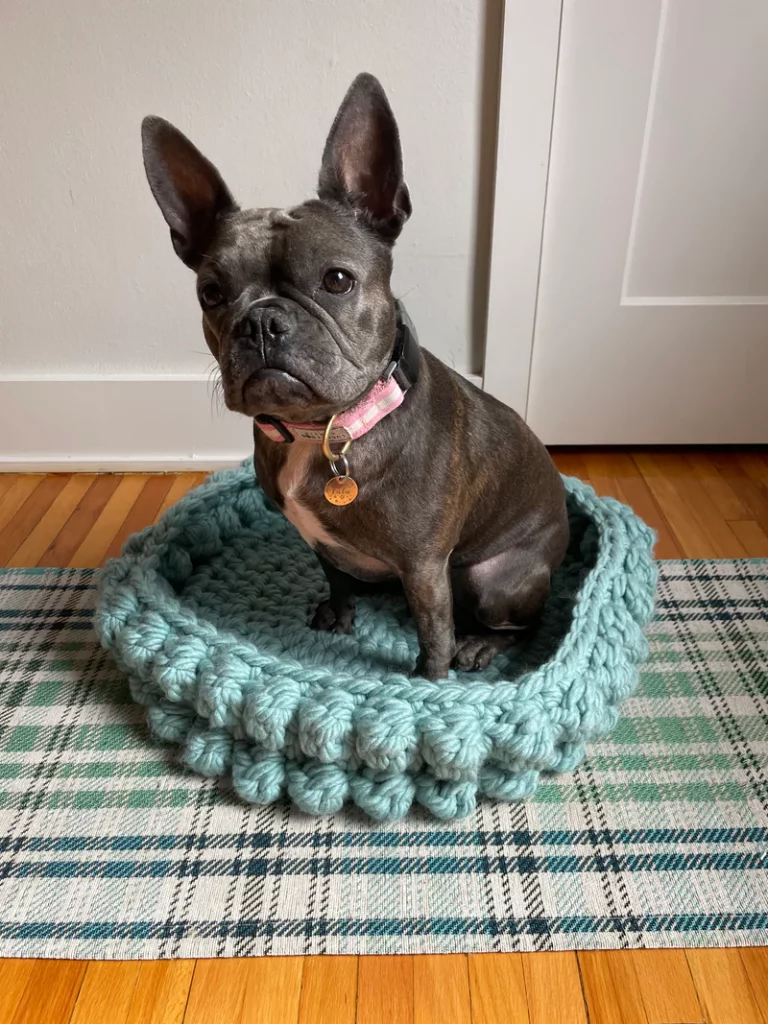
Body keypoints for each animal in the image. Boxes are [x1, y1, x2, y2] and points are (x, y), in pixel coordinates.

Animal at [141, 72, 569, 679]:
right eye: (212, 294)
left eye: (337, 280)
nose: (262, 322)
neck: (322, 428)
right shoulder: (322, 546)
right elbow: (337, 577)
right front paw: (338, 613)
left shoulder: (425, 567)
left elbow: (434, 634)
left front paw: (428, 682)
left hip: (491, 578)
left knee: (521, 622)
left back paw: (481, 645)